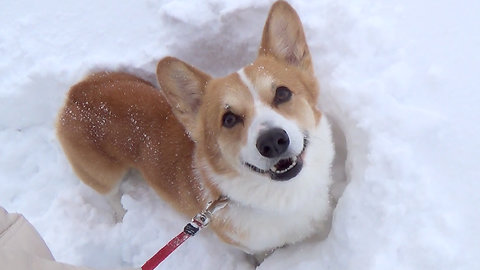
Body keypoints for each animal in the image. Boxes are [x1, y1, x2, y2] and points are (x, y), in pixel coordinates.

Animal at [57, 0, 334, 255]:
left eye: (283, 93)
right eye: (229, 119)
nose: (273, 141)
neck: (282, 196)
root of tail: (74, 94)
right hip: (101, 174)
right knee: (110, 194)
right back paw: (121, 215)